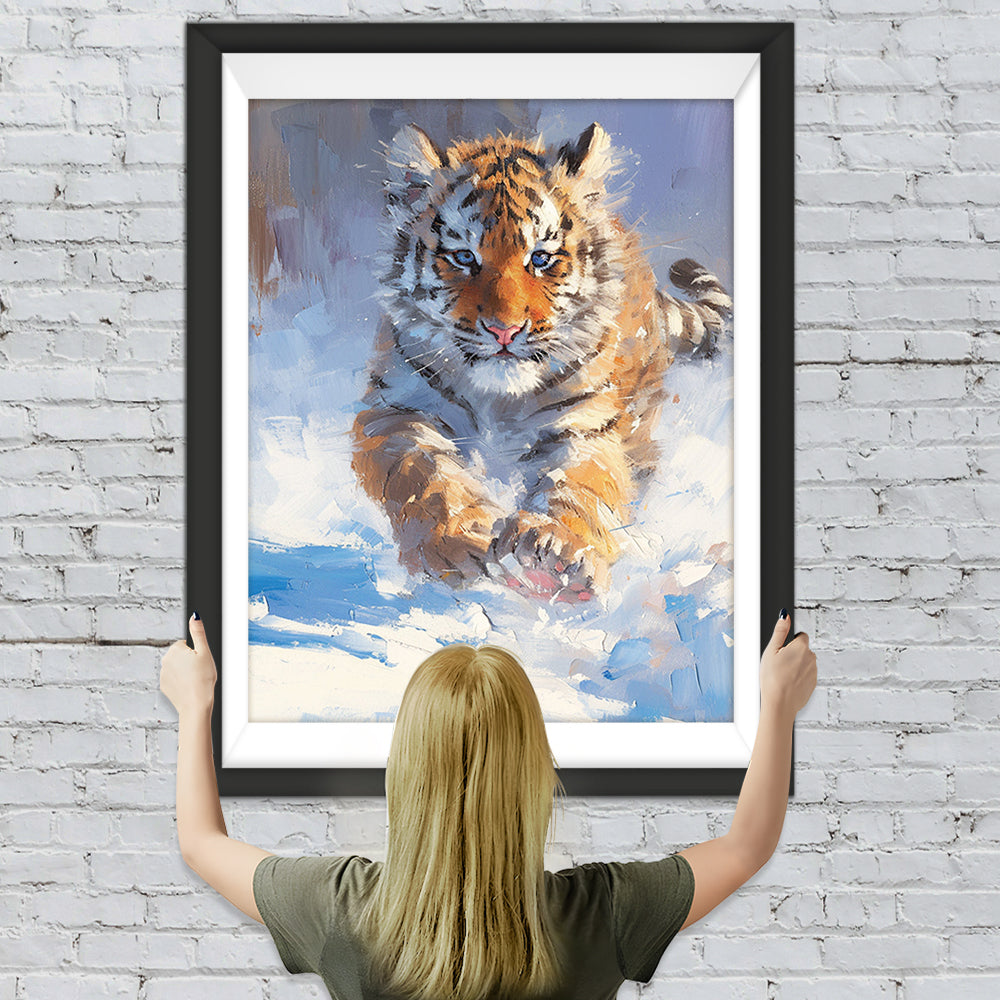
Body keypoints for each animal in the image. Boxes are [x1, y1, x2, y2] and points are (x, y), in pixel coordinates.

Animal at [351, 122, 732, 604]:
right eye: (463, 257)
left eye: (541, 259)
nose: (505, 330)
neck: (498, 398)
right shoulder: (397, 411)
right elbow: (426, 477)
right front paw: (459, 541)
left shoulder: (585, 424)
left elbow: (580, 484)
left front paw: (557, 551)